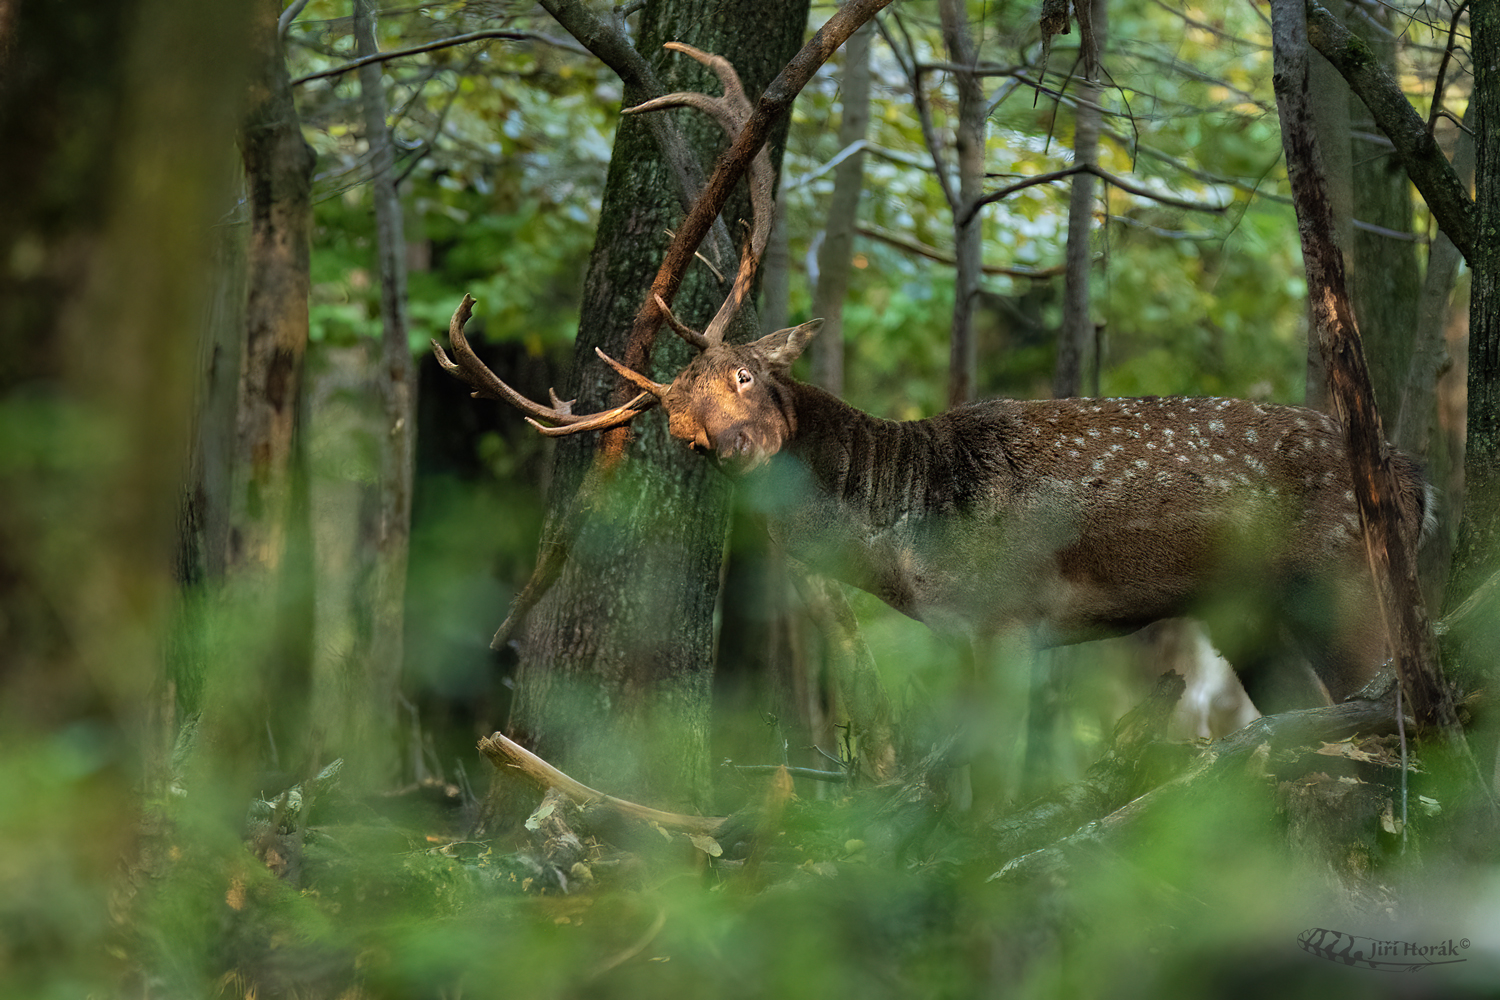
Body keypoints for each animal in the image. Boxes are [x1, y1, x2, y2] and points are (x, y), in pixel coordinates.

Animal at [435, 46, 1428, 719]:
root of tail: (1420, 481)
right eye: (679, 428)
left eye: (748, 374)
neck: (912, 541)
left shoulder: (1011, 612)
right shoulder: (970, 630)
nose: (734, 446)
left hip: (1346, 578)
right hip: (1260, 615)